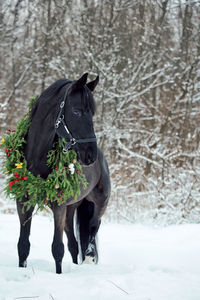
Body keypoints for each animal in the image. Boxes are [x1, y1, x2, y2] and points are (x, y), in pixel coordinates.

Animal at [16, 73, 111, 274]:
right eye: (76, 112)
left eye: (92, 113)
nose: (90, 155)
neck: (37, 158)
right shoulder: (23, 203)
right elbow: (23, 245)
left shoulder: (58, 207)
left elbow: (57, 248)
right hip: (71, 208)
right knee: (74, 245)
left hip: (99, 204)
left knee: (93, 228)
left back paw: (88, 258)